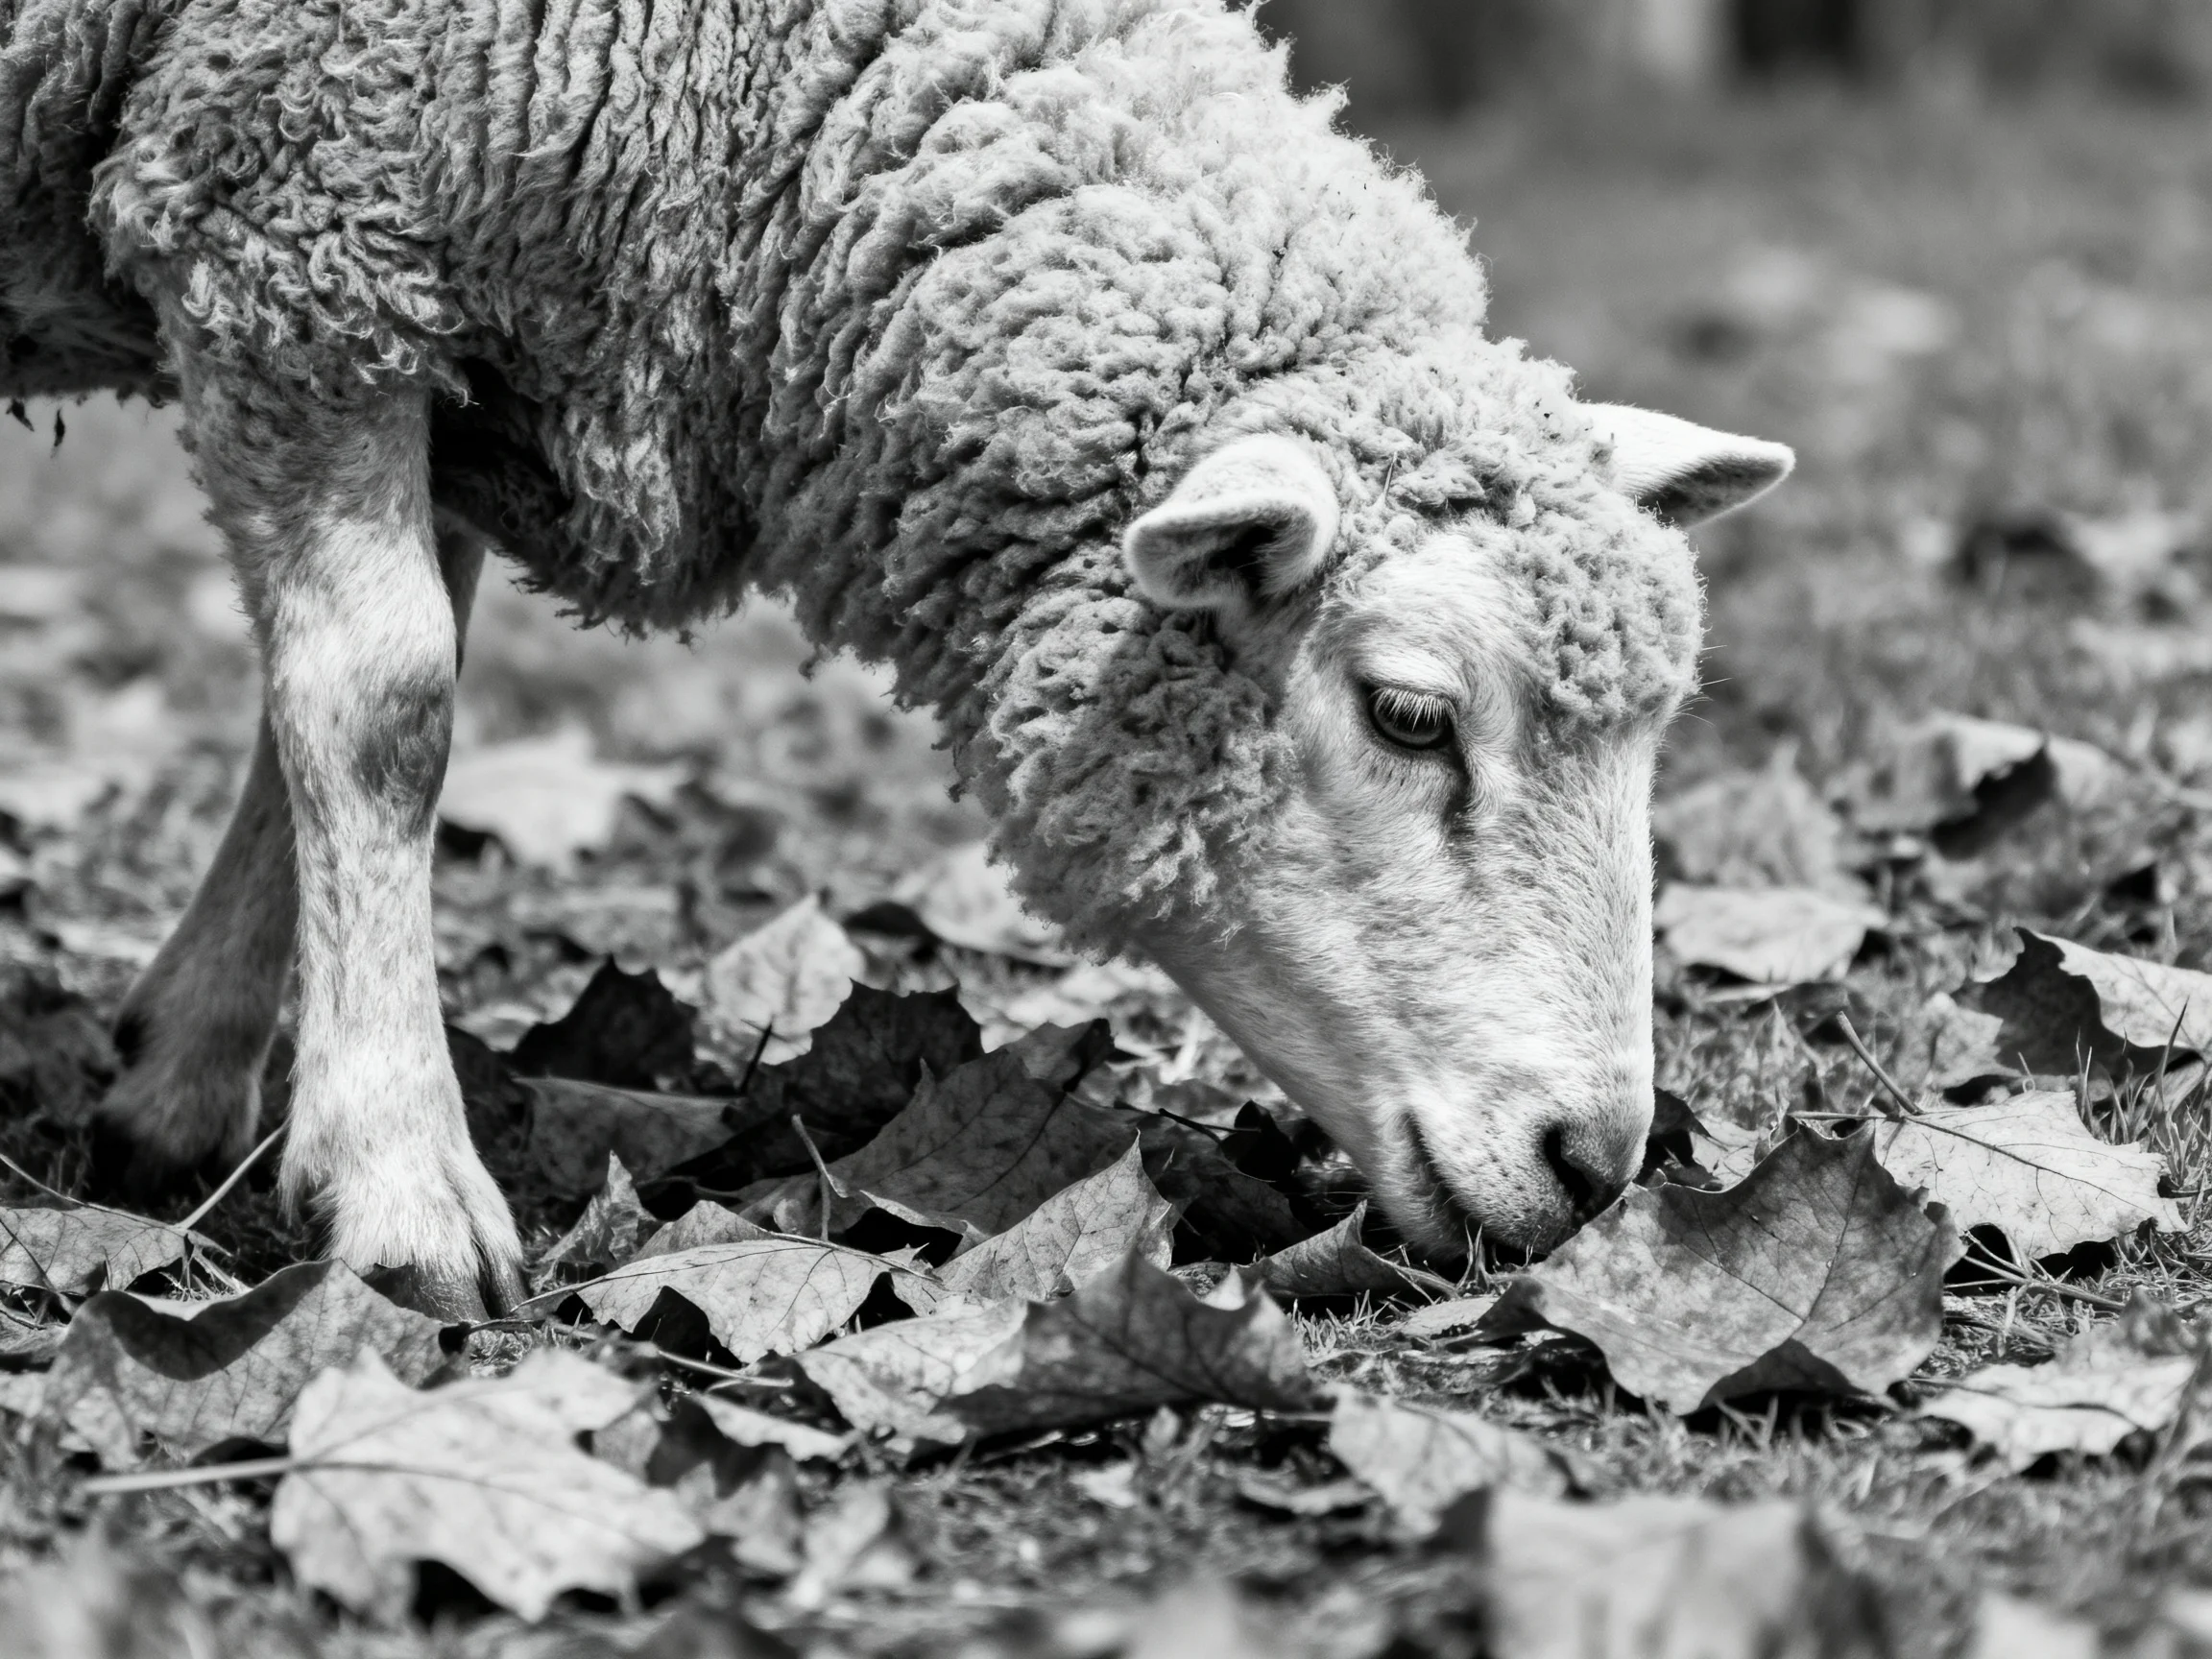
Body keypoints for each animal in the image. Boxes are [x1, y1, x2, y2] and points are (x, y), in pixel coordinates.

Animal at [2, 0, 1792, 1317]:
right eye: (1410, 716)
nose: (1594, 1166)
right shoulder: (298, 222)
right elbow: (383, 707)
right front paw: (400, 1188)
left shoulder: (405, 316)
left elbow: (319, 704)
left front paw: (186, 1081)